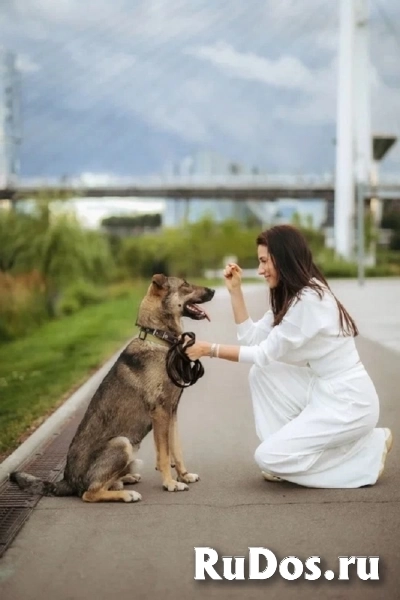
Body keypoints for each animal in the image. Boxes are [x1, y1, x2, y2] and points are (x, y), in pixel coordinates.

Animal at [9, 276, 214, 502]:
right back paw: (126, 494)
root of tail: (67, 481)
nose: (213, 290)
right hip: (122, 443)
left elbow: (176, 449)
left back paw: (125, 479)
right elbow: (164, 454)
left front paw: (184, 476)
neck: (159, 339)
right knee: (90, 493)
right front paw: (170, 483)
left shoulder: (172, 411)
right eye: (185, 284)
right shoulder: (161, 413)